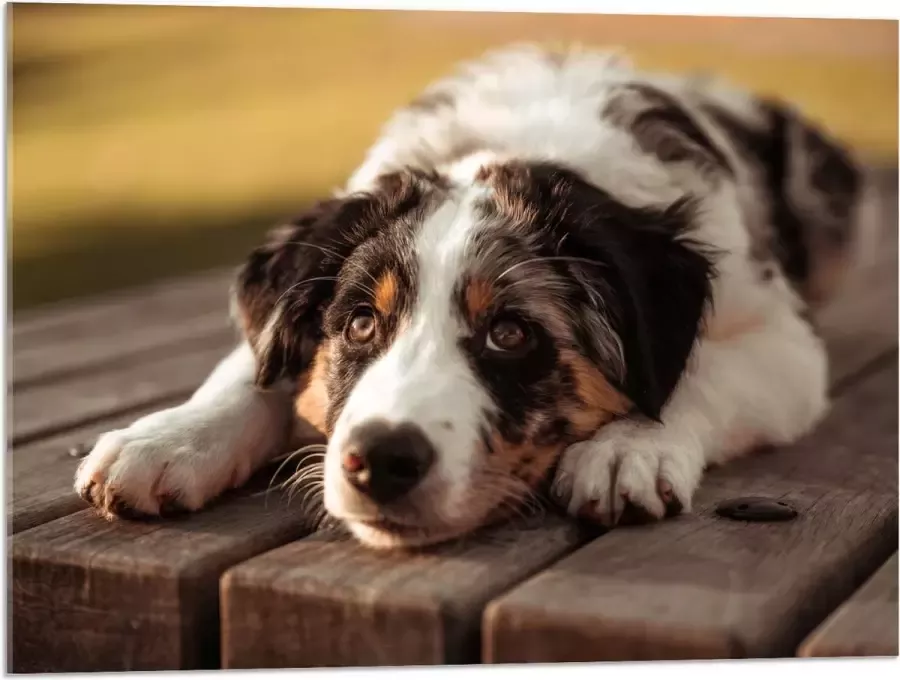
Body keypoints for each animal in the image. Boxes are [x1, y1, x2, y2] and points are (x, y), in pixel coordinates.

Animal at [75, 45, 872, 548]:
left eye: (510, 333)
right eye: (359, 324)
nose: (380, 461)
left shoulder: (783, 341)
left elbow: (698, 371)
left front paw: (628, 448)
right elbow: (251, 366)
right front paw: (166, 440)